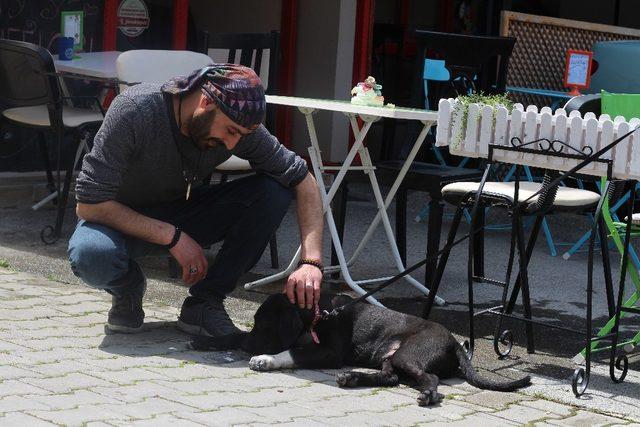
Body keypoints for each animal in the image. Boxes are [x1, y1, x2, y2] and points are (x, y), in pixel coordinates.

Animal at [191, 294, 528, 408]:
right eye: (257, 322)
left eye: (267, 325)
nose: (249, 346)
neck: (318, 314)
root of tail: (456, 343)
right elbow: (234, 334)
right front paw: (209, 341)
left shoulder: (329, 352)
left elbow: (291, 352)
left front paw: (264, 359)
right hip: (390, 357)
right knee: (391, 378)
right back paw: (352, 378)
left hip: (408, 354)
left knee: (429, 379)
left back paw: (427, 396)